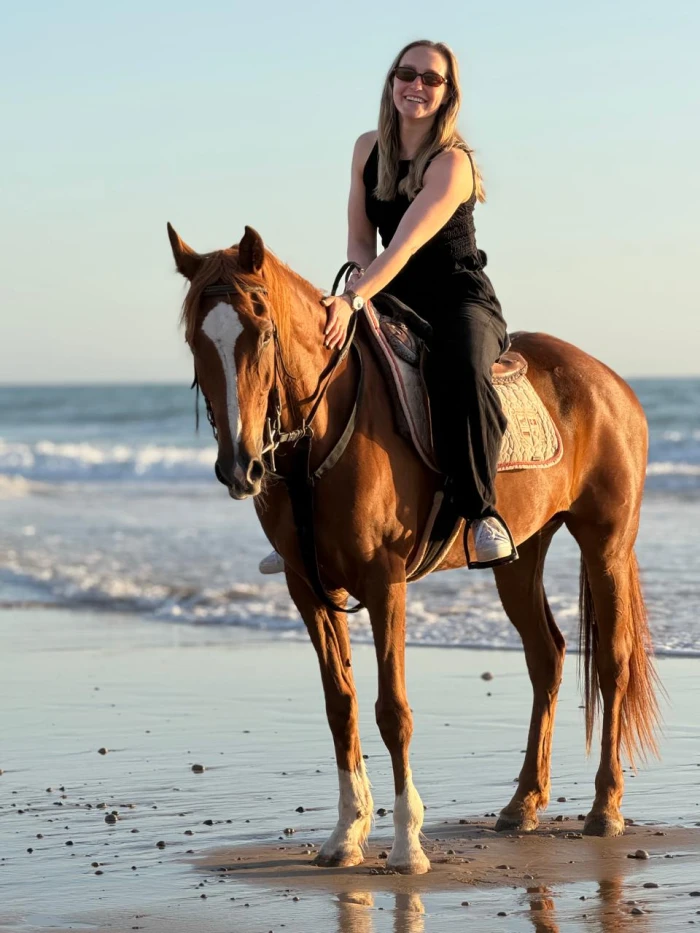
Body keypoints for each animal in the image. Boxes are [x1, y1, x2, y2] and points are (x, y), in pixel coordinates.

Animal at [167, 222, 659, 875]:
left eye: (263, 331)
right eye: (196, 338)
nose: (239, 467)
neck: (325, 427)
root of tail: (611, 382)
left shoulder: (385, 580)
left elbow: (392, 710)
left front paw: (406, 846)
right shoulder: (307, 586)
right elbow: (341, 705)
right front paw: (346, 835)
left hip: (606, 544)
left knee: (612, 662)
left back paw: (605, 809)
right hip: (521, 554)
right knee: (547, 657)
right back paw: (523, 805)